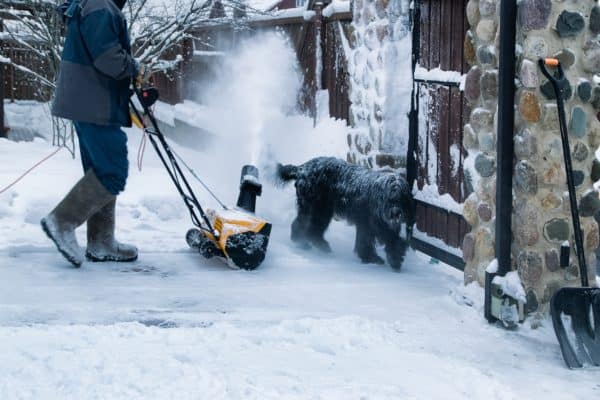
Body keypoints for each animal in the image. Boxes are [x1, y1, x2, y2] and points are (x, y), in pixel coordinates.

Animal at [278, 156, 414, 268]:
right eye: (390, 198)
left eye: (402, 198)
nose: (396, 212)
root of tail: (301, 168)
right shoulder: (369, 224)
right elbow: (368, 242)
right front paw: (372, 258)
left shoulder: (381, 225)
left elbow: (392, 239)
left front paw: (394, 257)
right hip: (313, 207)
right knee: (304, 225)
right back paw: (305, 243)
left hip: (322, 210)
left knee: (309, 227)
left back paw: (312, 244)